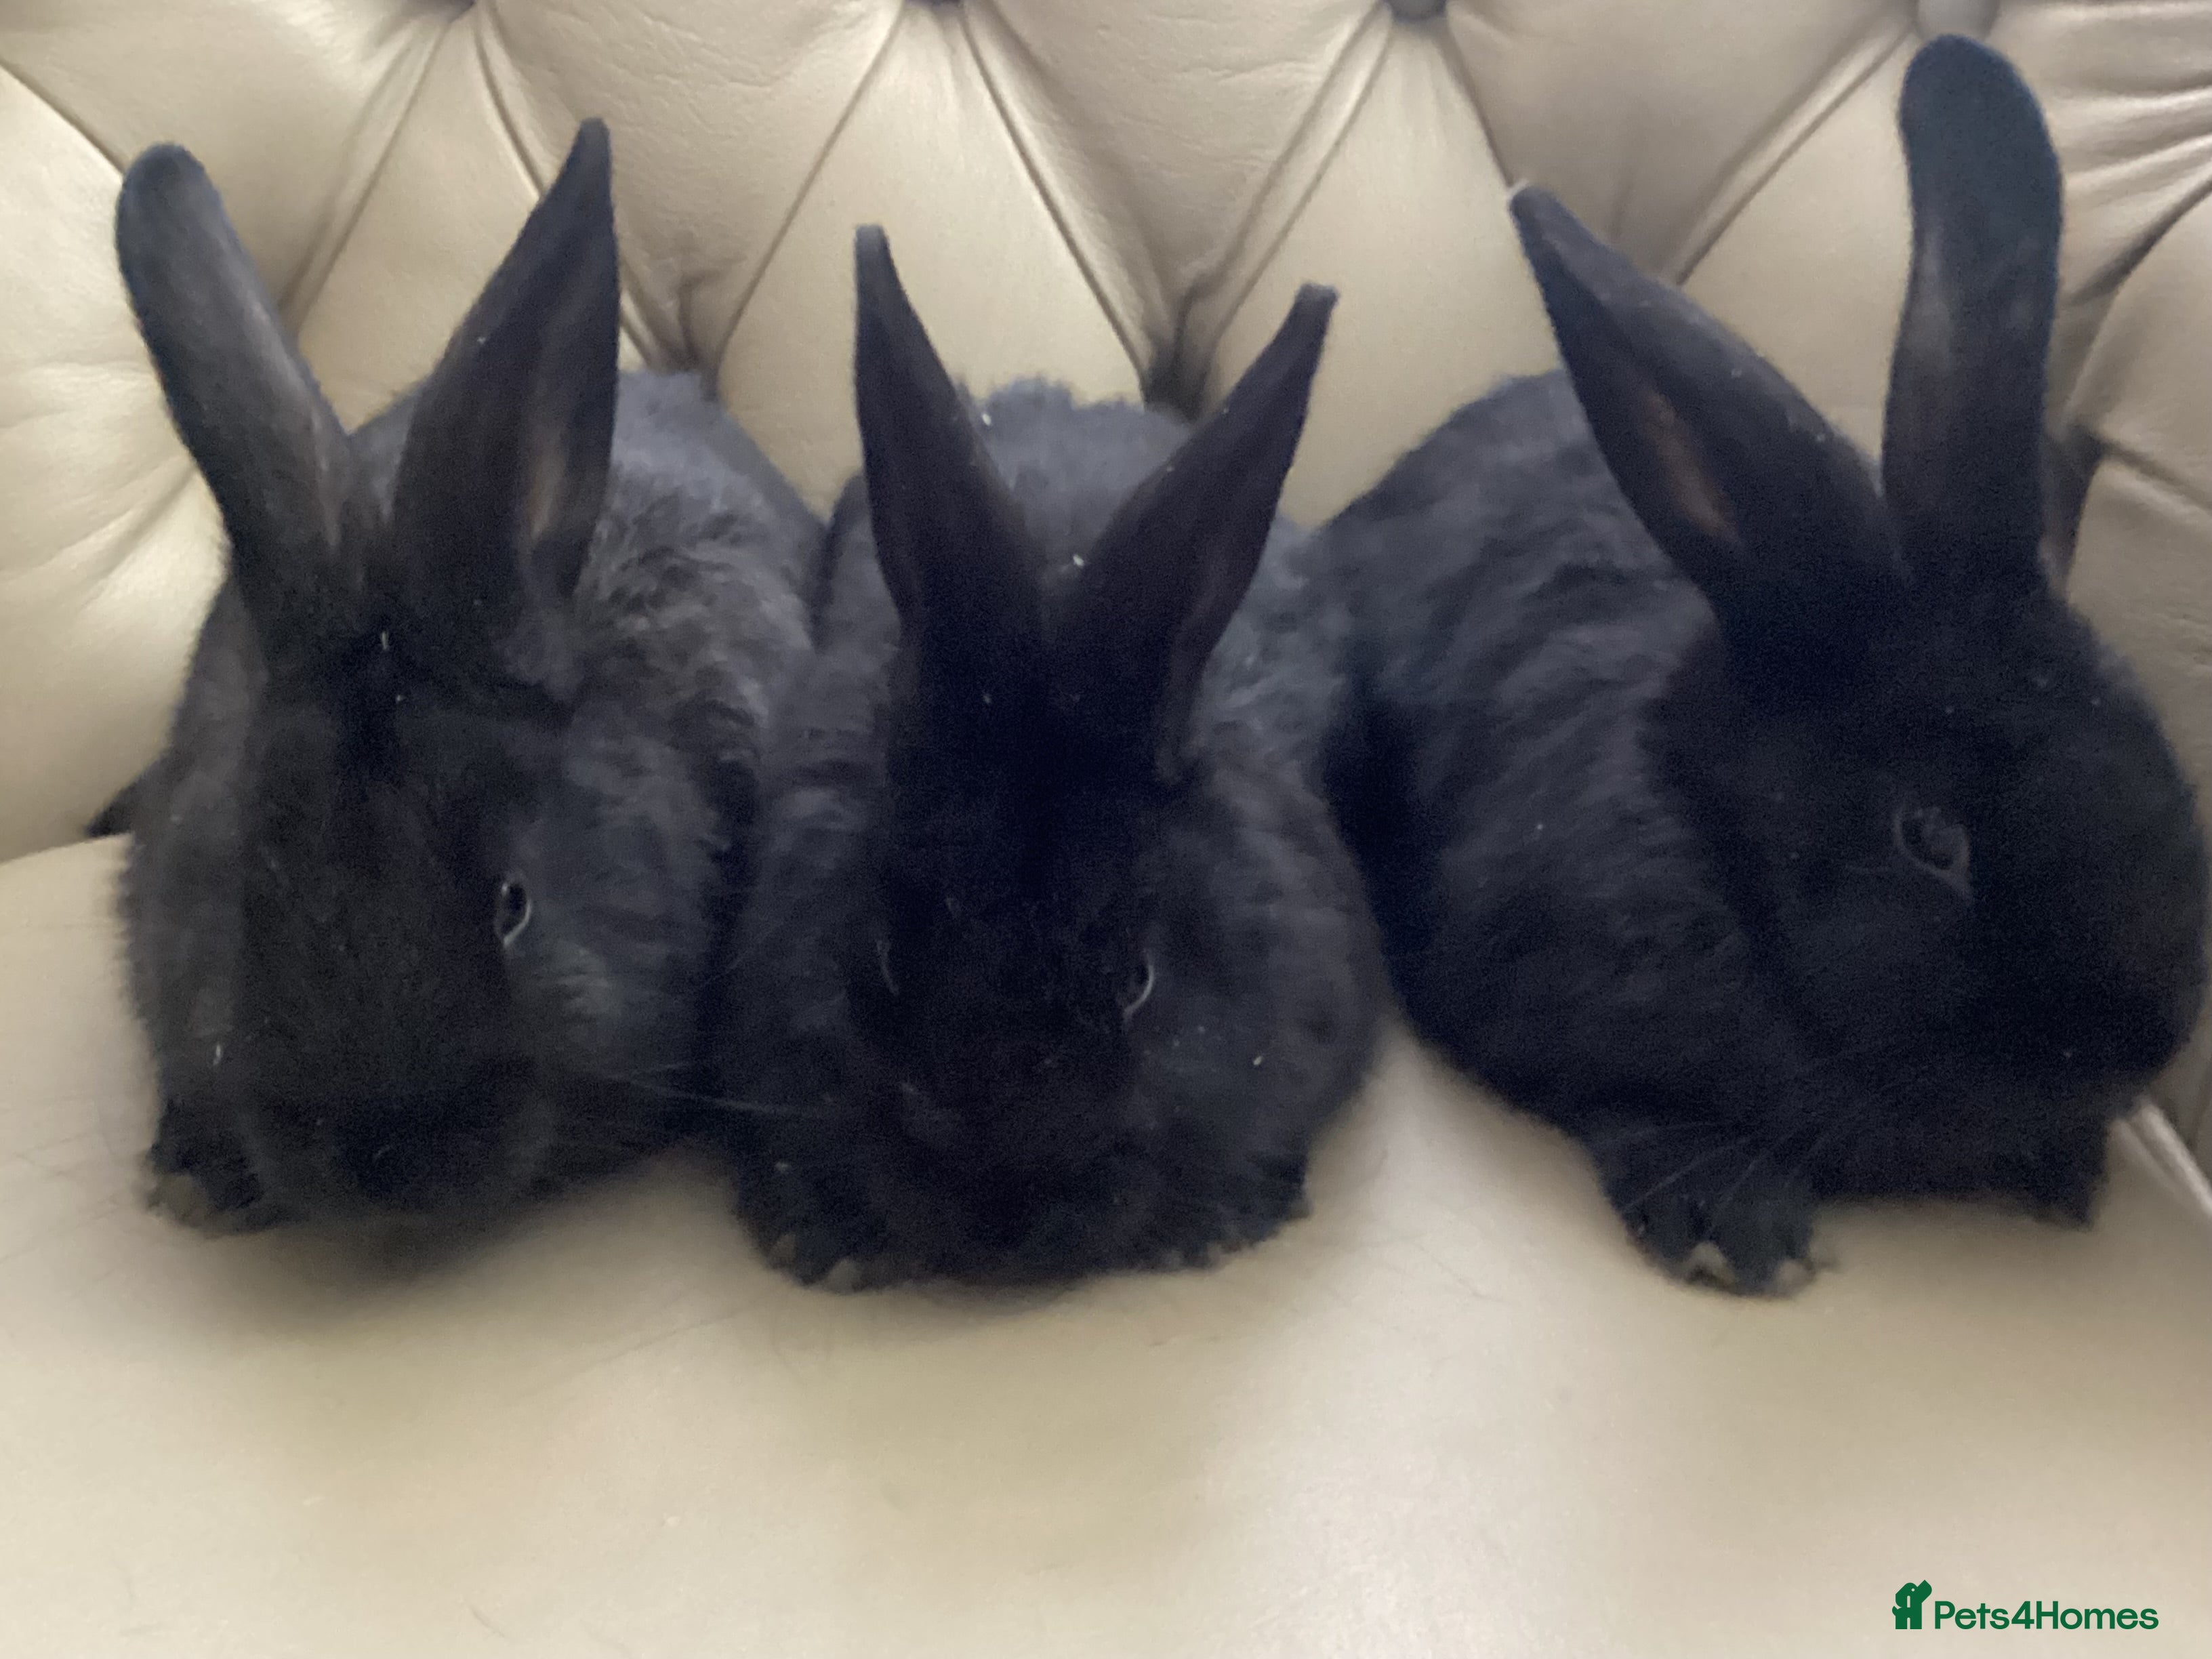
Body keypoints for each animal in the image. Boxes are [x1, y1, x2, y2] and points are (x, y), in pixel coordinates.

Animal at [1323, 35, 2209, 1294]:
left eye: (2155, 753)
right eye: (1929, 839)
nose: (2135, 1046)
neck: (1718, 844)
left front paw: (2063, 1169)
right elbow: (1625, 1097)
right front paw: (1733, 1222)